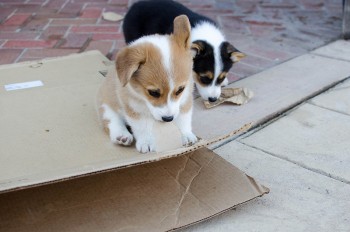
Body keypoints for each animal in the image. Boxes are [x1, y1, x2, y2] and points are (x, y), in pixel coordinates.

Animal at [97, 15, 198, 154]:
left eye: (180, 90)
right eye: (153, 93)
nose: (168, 119)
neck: (143, 98)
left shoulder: (185, 100)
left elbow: (183, 119)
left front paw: (186, 135)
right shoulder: (134, 110)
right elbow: (143, 128)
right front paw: (146, 142)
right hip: (107, 106)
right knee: (112, 121)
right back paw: (121, 136)